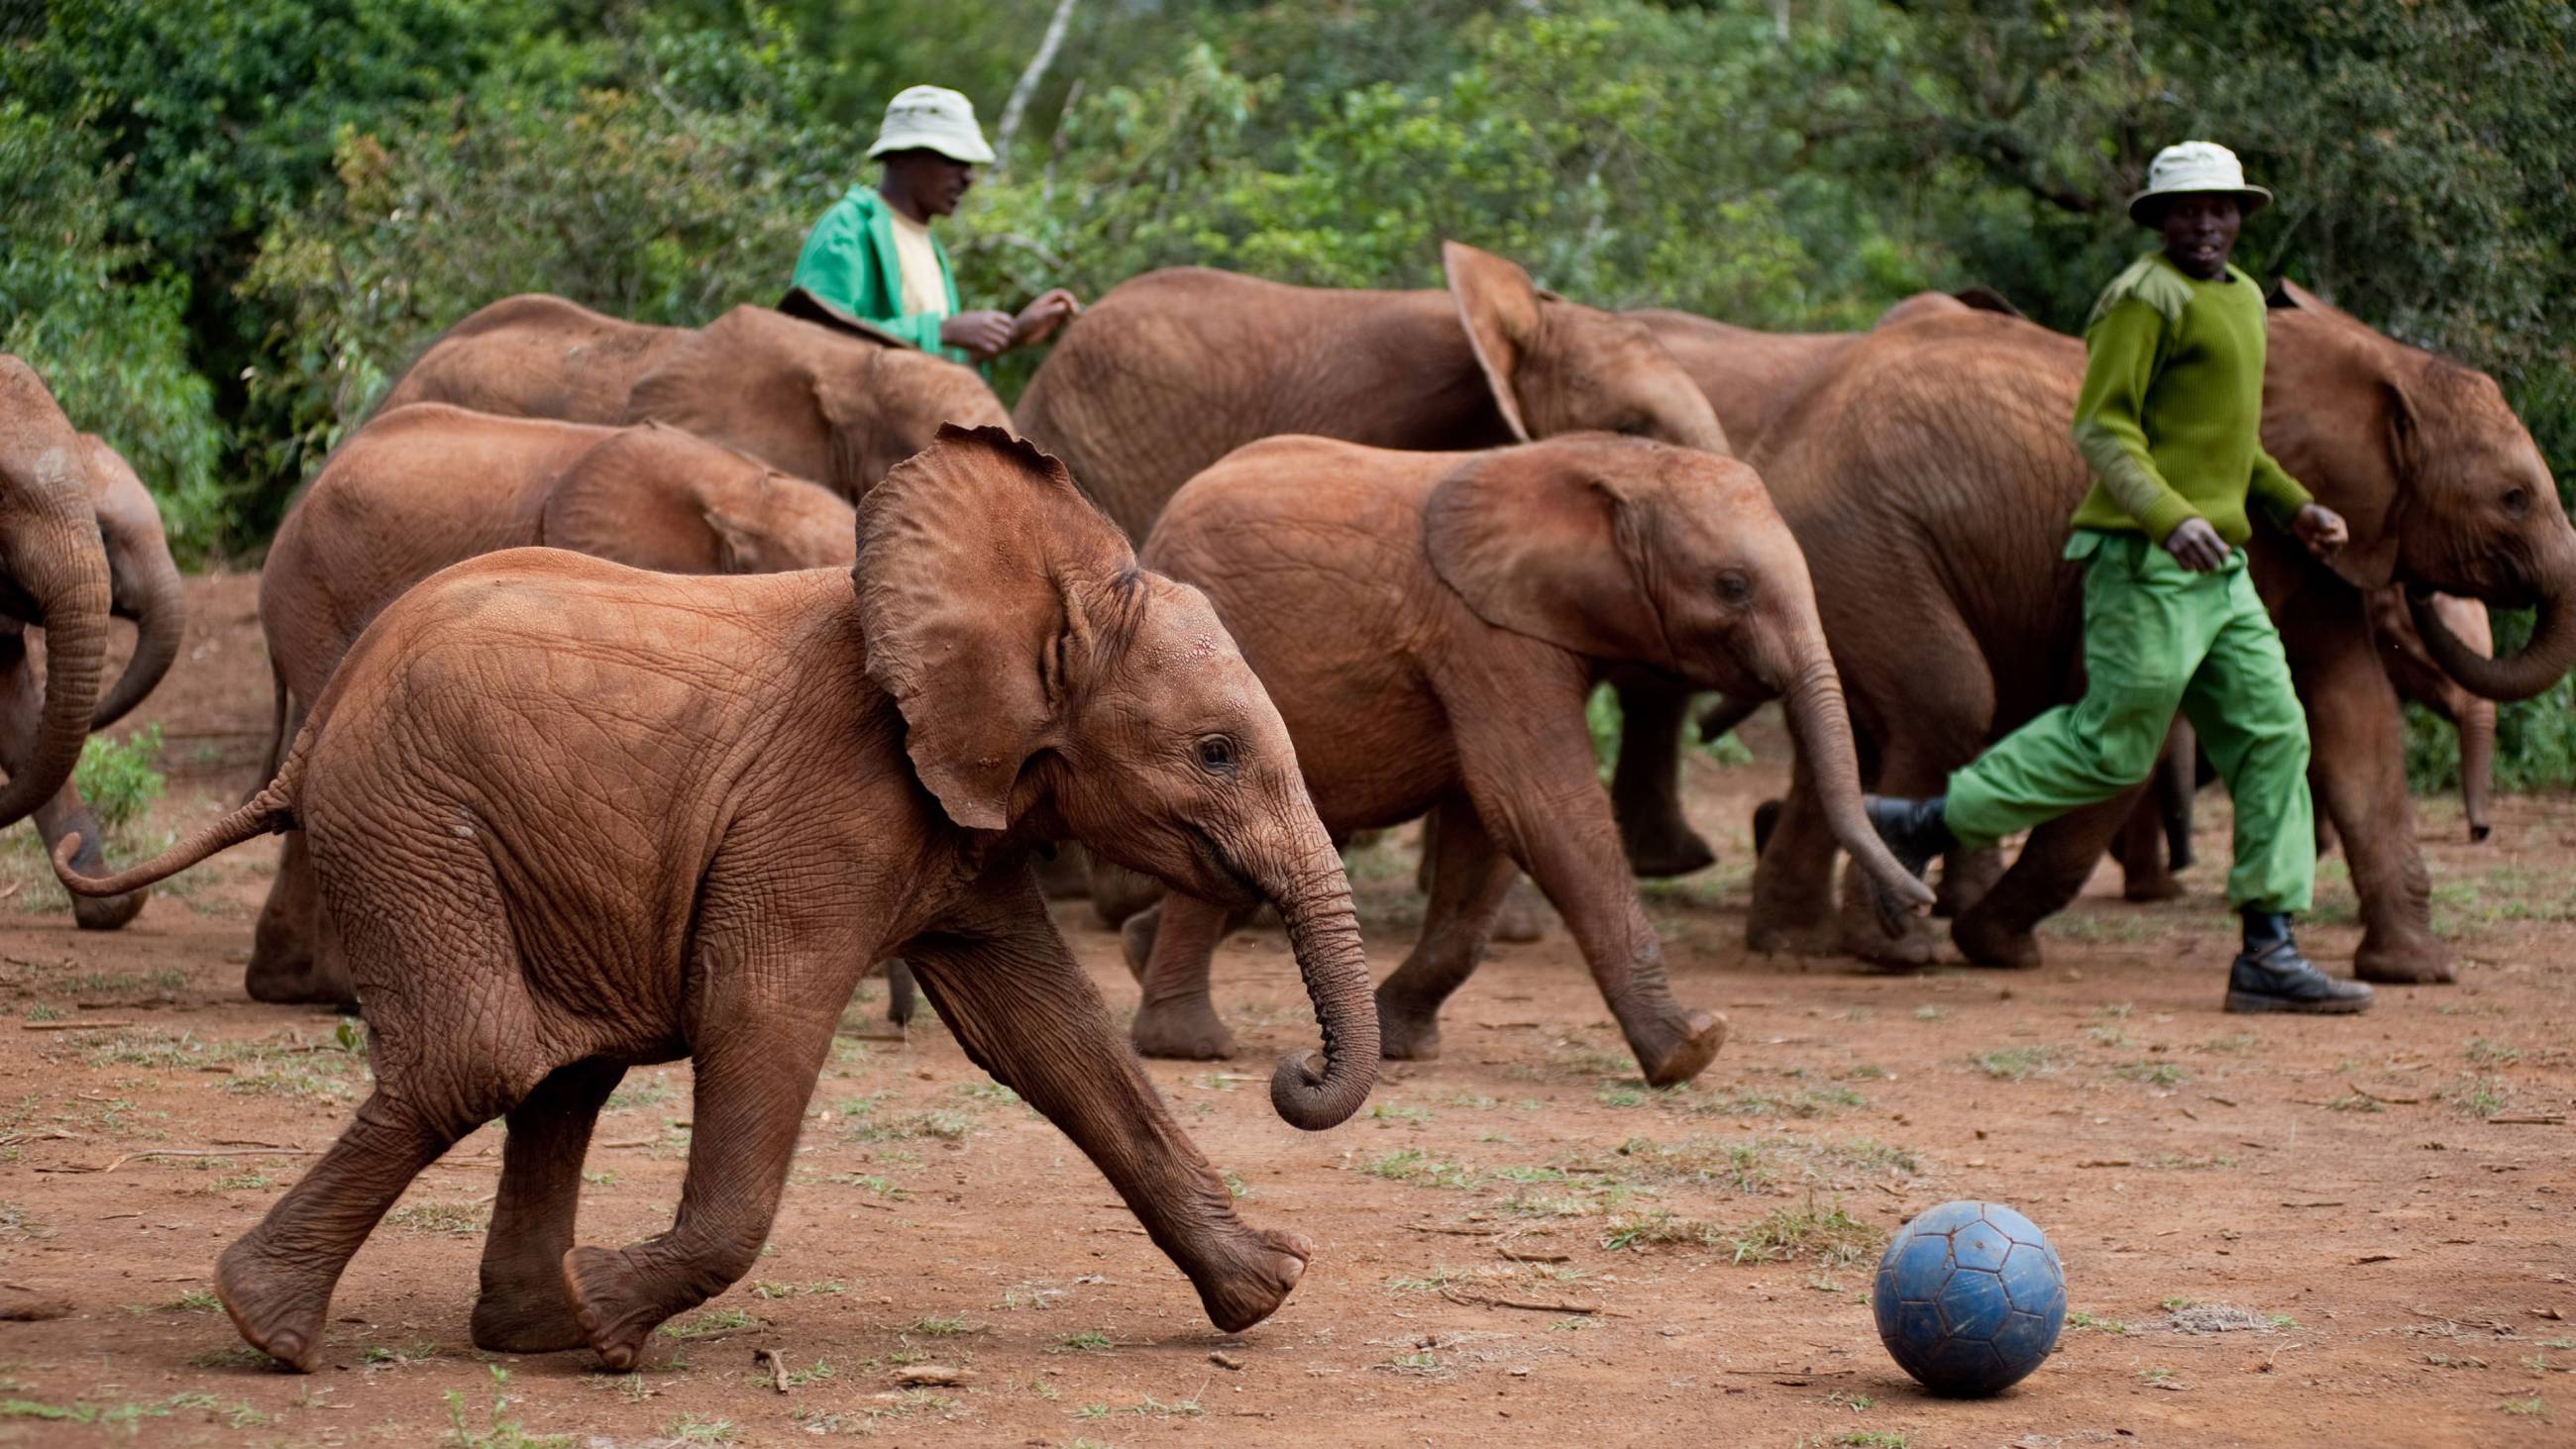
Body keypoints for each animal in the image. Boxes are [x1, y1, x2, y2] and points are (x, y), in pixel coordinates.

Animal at [1127, 435, 1937, 1090]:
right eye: (1731, 586)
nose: (1919, 906)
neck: (1614, 463)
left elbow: (1485, 833)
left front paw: (1402, 1042)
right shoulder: (1487, 632)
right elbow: (1539, 807)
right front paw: (1691, 1049)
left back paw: (1139, 954)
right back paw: (1189, 1045)